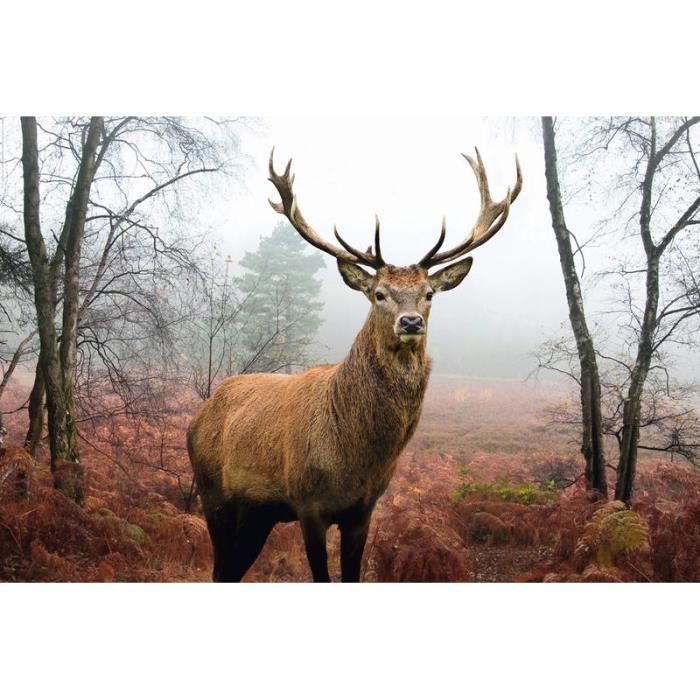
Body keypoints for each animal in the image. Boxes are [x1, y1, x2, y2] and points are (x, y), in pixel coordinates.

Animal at [187, 147, 522, 582]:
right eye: (379, 293)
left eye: (429, 293)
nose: (410, 322)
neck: (354, 456)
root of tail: (198, 416)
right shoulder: (308, 504)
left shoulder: (363, 510)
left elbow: (352, 574)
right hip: (213, 493)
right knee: (219, 568)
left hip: (258, 513)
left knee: (231, 570)